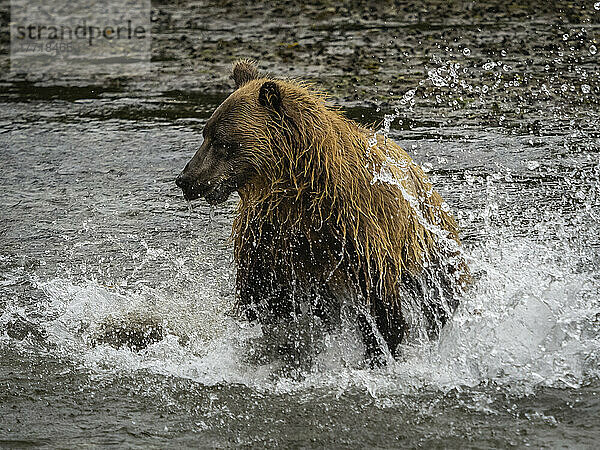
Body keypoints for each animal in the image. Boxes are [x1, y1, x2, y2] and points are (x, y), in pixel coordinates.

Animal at [177, 59, 468, 366]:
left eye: (222, 142)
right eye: (206, 134)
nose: (186, 179)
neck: (299, 191)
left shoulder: (355, 231)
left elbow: (381, 305)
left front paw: (381, 352)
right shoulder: (268, 236)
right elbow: (264, 298)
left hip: (428, 236)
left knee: (443, 291)